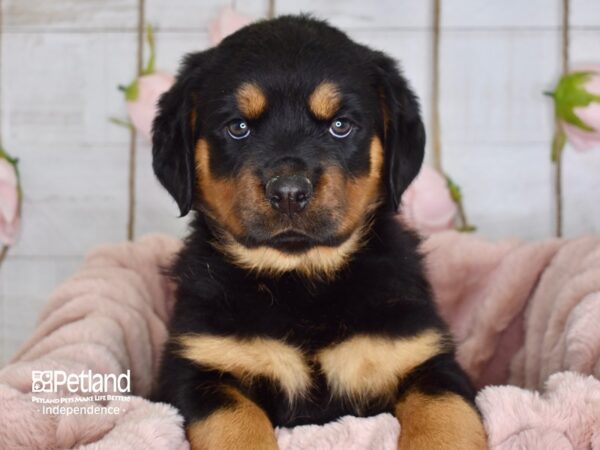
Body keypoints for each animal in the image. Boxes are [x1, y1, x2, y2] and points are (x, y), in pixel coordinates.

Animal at [151, 14, 488, 450]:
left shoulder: (425, 357)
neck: (302, 282)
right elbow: (236, 421)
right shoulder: (197, 368)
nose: (289, 193)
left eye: (340, 126)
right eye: (238, 127)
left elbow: (445, 413)